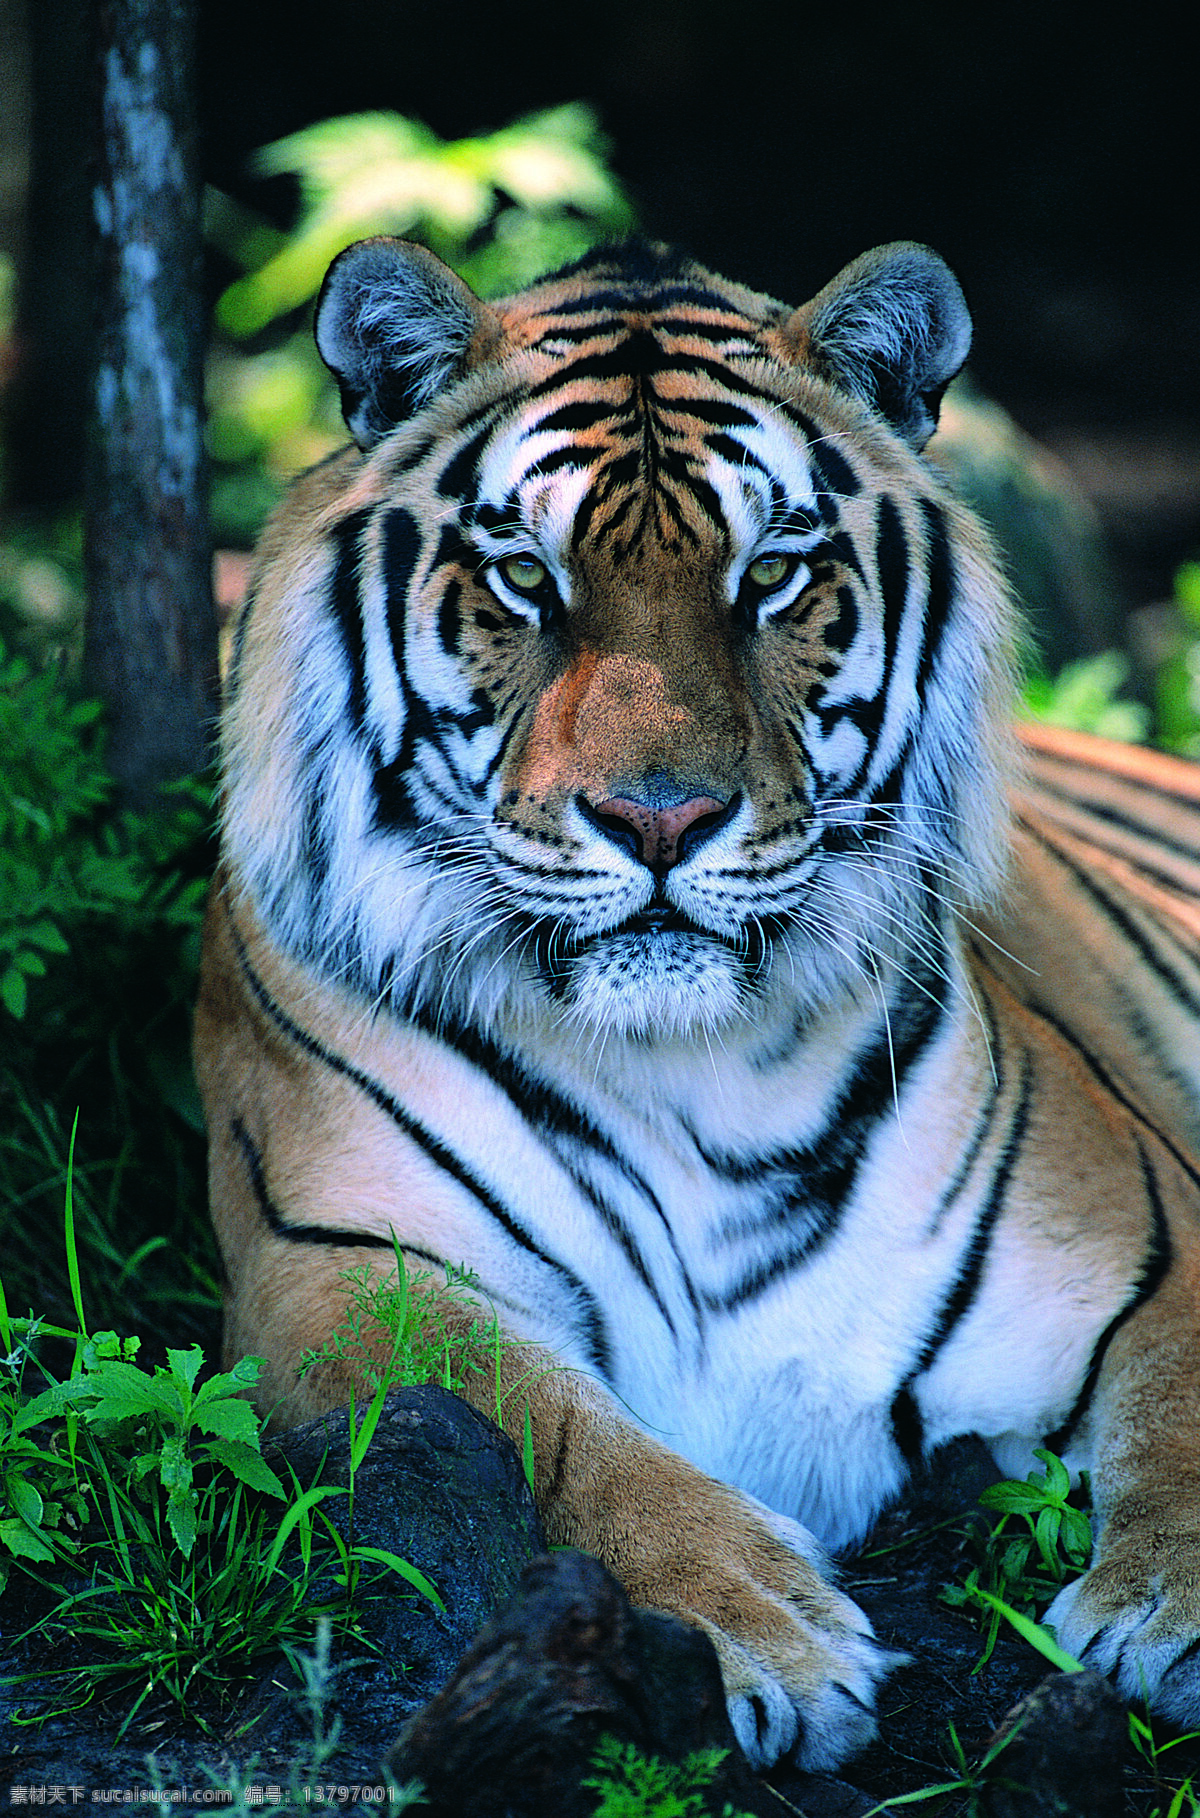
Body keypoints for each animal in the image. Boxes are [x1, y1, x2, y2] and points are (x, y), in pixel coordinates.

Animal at [195, 234, 1200, 1773]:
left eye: (773, 573)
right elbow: (558, 1436)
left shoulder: (1144, 1239)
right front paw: (761, 1630)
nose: (659, 819)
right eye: (523, 575)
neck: (685, 1067)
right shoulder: (339, 1271)